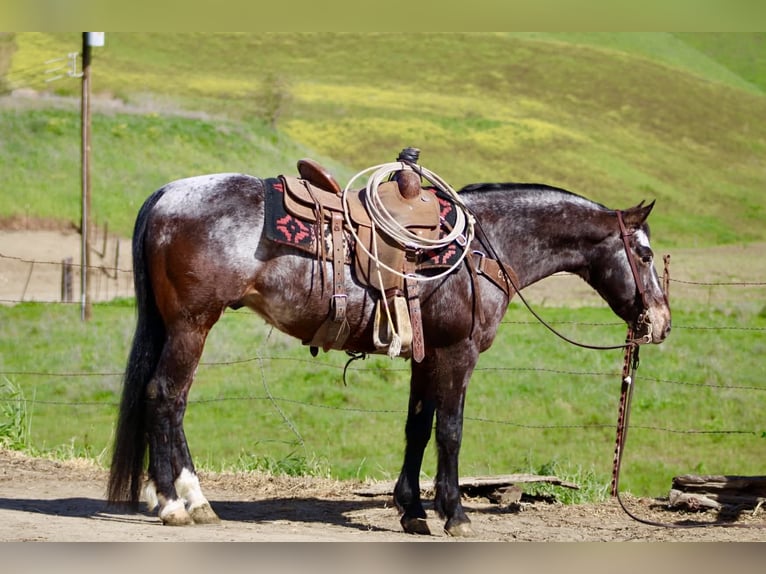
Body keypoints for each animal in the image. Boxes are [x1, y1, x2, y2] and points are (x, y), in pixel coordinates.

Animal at [107, 165, 671, 537]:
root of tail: (168, 194)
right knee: (166, 398)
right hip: (192, 325)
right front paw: (454, 513)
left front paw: (413, 511)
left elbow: (417, 427)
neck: (484, 247)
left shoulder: (428, 355)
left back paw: (181, 499)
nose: (661, 323)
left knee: (166, 400)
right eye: (644, 255)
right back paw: (179, 503)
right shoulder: (458, 353)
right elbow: (450, 430)